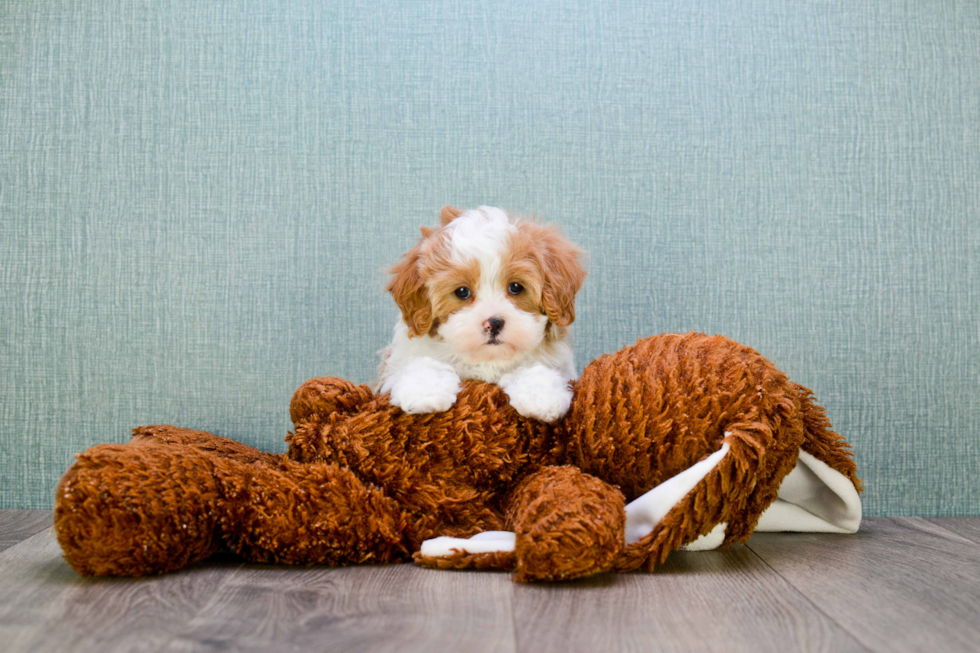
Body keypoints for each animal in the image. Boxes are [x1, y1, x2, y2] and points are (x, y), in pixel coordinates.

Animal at [378, 206, 584, 426]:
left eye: (516, 287)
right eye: (462, 292)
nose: (493, 323)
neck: (487, 360)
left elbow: (536, 368)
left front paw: (541, 396)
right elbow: (424, 362)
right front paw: (423, 392)